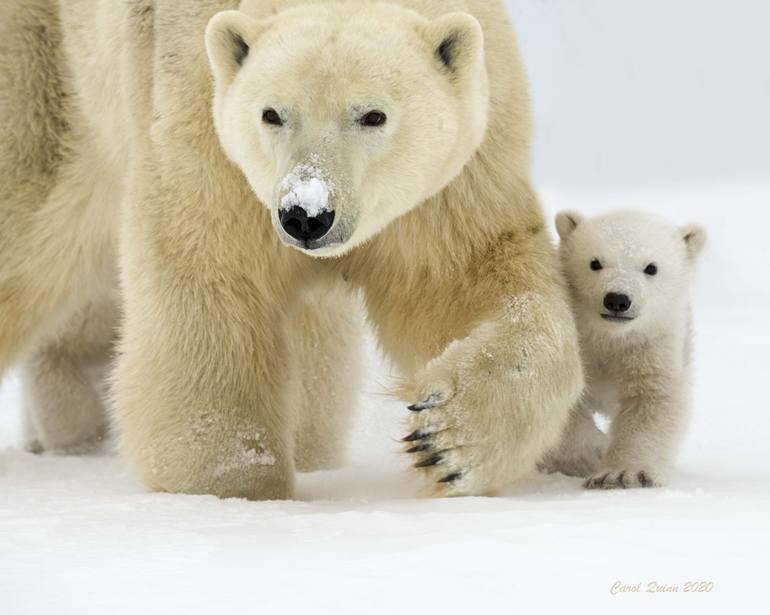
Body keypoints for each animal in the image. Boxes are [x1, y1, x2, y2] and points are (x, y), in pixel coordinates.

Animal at [1, 1, 584, 500]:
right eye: (272, 114)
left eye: (373, 115)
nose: (306, 214)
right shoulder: (203, 132)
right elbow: (209, 287)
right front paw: (235, 484)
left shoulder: (452, 183)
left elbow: (469, 279)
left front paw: (445, 440)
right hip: (50, 73)